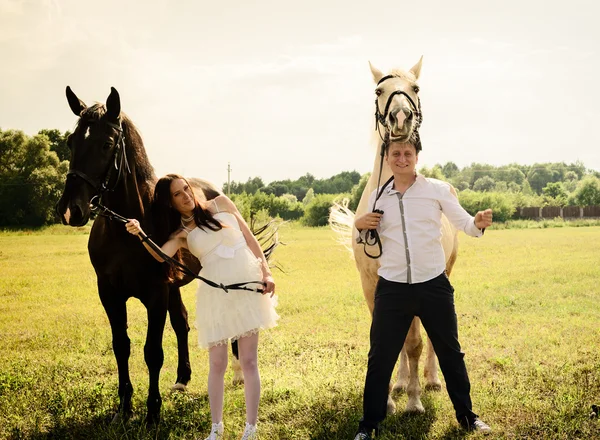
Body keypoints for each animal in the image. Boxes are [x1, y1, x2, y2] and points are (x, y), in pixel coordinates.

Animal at [55, 86, 227, 426]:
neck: (126, 232)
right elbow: (121, 346)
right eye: (70, 141)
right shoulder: (109, 294)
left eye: (107, 143)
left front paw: (152, 412)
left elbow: (152, 352)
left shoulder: (156, 293)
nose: (70, 210)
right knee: (181, 323)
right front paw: (124, 406)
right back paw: (182, 378)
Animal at [328, 56, 460, 414]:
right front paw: (387, 399)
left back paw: (431, 380)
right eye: (379, 90)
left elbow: (414, 342)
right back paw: (400, 382)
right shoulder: (372, 285)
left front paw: (414, 401)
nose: (400, 116)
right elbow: (387, 340)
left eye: (415, 87)